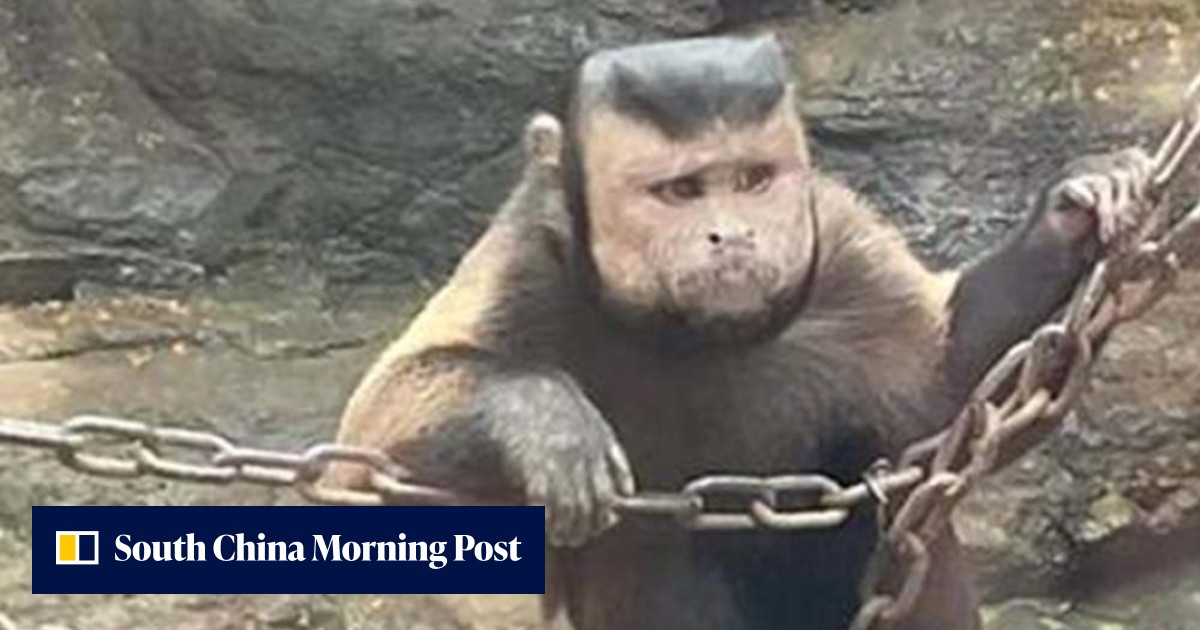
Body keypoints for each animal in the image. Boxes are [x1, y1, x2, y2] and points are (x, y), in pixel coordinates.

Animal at [326, 35, 1153, 630]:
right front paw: (541, 419)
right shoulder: (525, 264)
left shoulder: (841, 249)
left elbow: (953, 401)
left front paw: (1069, 219)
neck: (690, 333)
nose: (731, 234)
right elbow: (362, 475)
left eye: (752, 180)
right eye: (683, 191)